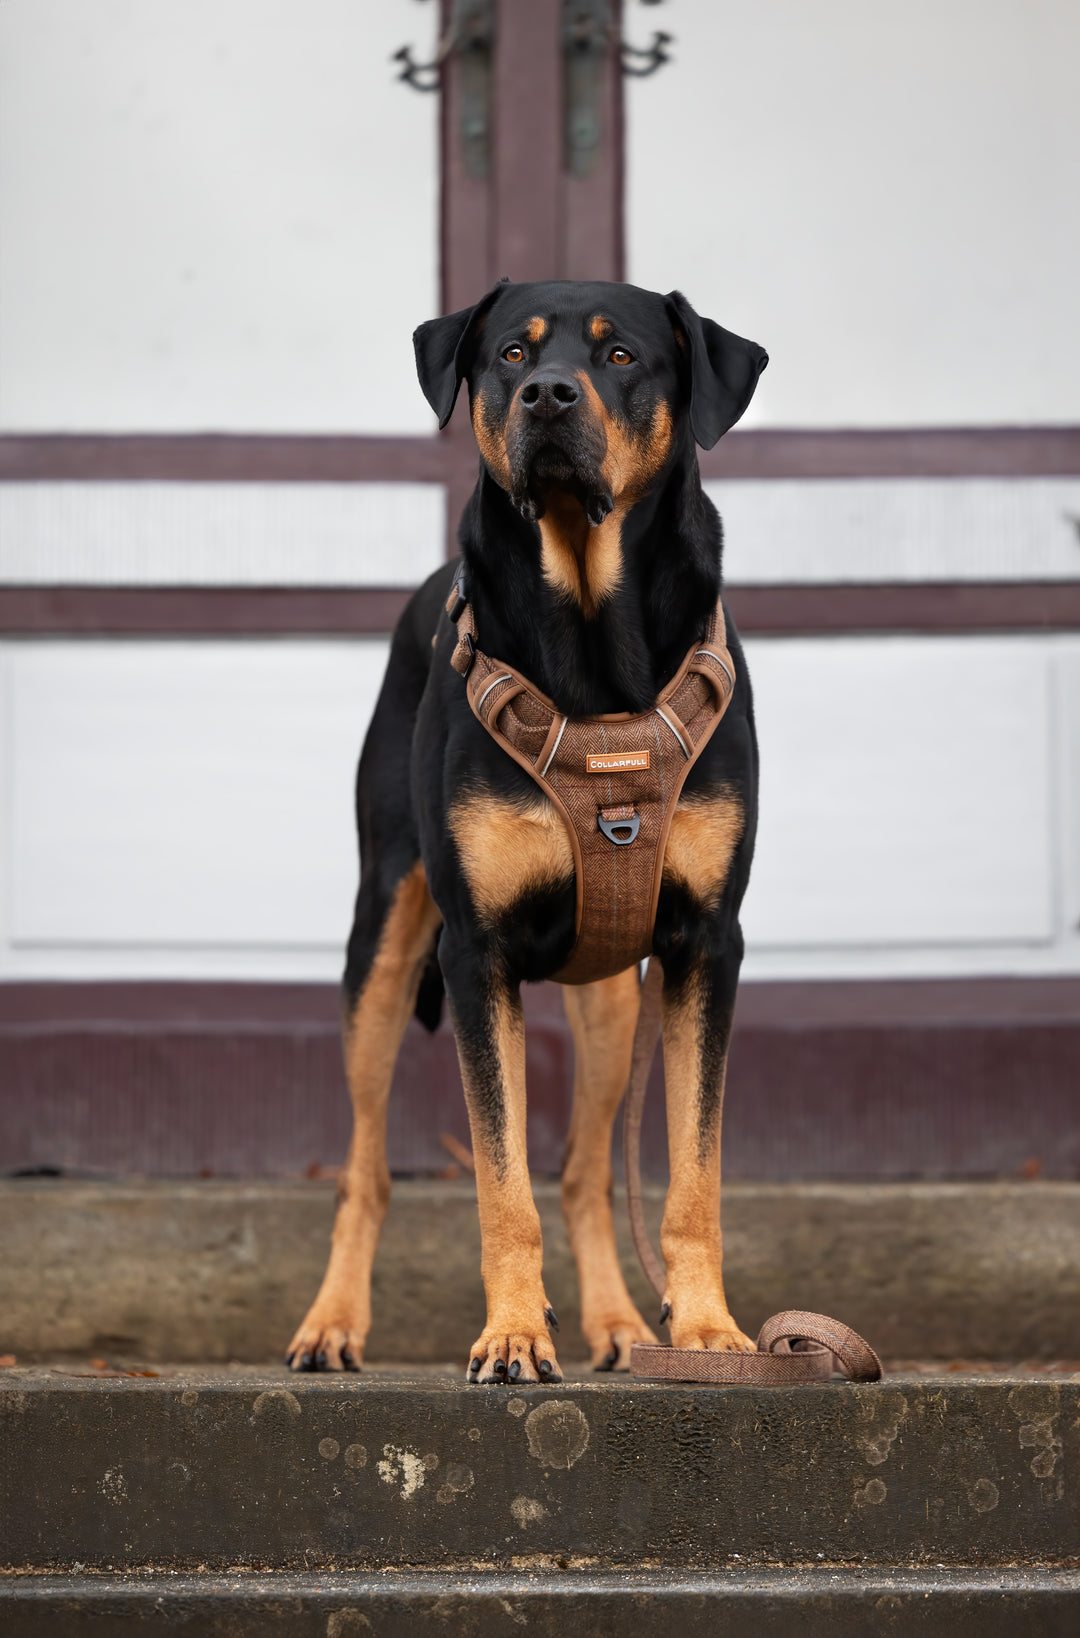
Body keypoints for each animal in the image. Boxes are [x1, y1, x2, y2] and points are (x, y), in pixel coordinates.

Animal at [286, 278, 770, 1382]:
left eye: (623, 356)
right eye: (511, 353)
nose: (549, 395)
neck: (587, 626)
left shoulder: (706, 944)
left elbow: (694, 1175)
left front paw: (709, 1332)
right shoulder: (477, 953)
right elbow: (500, 1182)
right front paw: (511, 1335)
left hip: (613, 1000)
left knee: (589, 1169)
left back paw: (623, 1325)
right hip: (382, 940)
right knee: (367, 1165)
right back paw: (332, 1323)